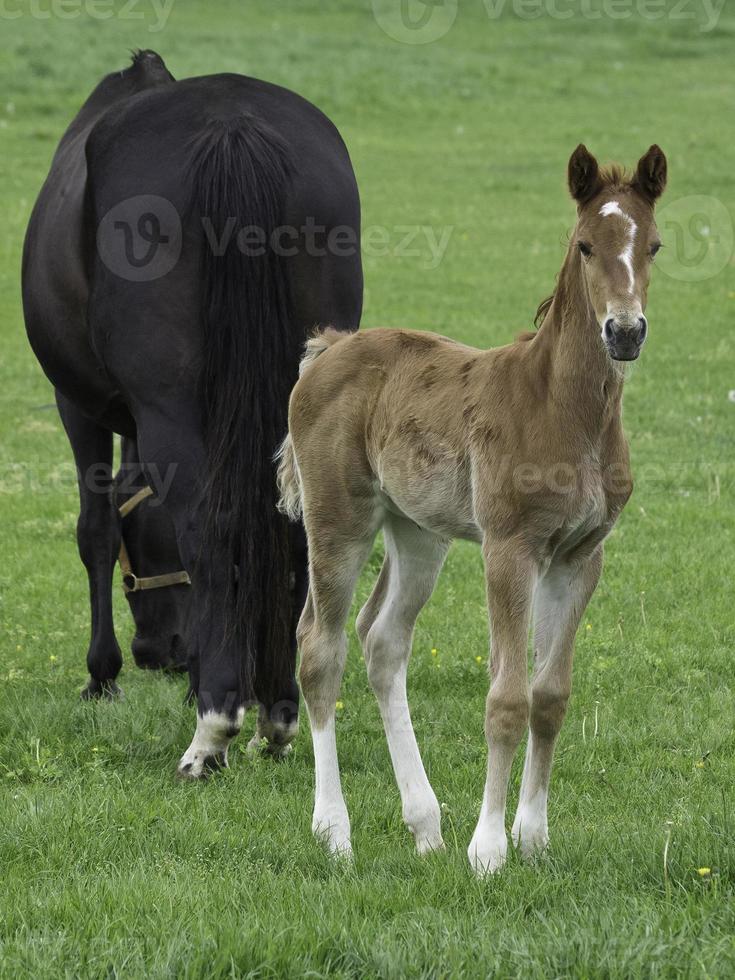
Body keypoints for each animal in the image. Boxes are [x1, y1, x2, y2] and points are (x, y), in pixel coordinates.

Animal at [24, 53, 364, 776]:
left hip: (169, 405)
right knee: (290, 524)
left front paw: (103, 674)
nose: (161, 654)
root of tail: (231, 129)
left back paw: (213, 729)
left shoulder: (77, 408)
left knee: (209, 528)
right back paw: (275, 712)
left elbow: (96, 530)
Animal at [278, 144, 668, 872]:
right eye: (584, 245)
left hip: (417, 533)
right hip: (338, 517)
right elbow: (506, 698)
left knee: (382, 642)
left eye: (653, 245)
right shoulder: (509, 546)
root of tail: (329, 348)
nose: (625, 332)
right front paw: (487, 849)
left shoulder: (579, 555)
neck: (562, 408)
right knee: (320, 646)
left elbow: (550, 696)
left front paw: (533, 837)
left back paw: (425, 826)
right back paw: (335, 833)